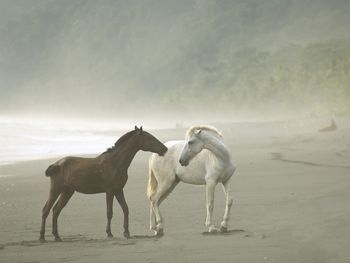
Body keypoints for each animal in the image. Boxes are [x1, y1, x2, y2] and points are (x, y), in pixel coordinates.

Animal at [39, 127, 167, 242]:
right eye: (150, 137)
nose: (165, 149)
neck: (115, 162)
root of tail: (56, 164)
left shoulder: (119, 190)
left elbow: (125, 209)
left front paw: (126, 232)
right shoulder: (109, 191)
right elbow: (109, 212)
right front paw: (109, 233)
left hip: (67, 191)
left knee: (56, 210)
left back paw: (57, 236)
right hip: (56, 189)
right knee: (46, 209)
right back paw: (42, 237)